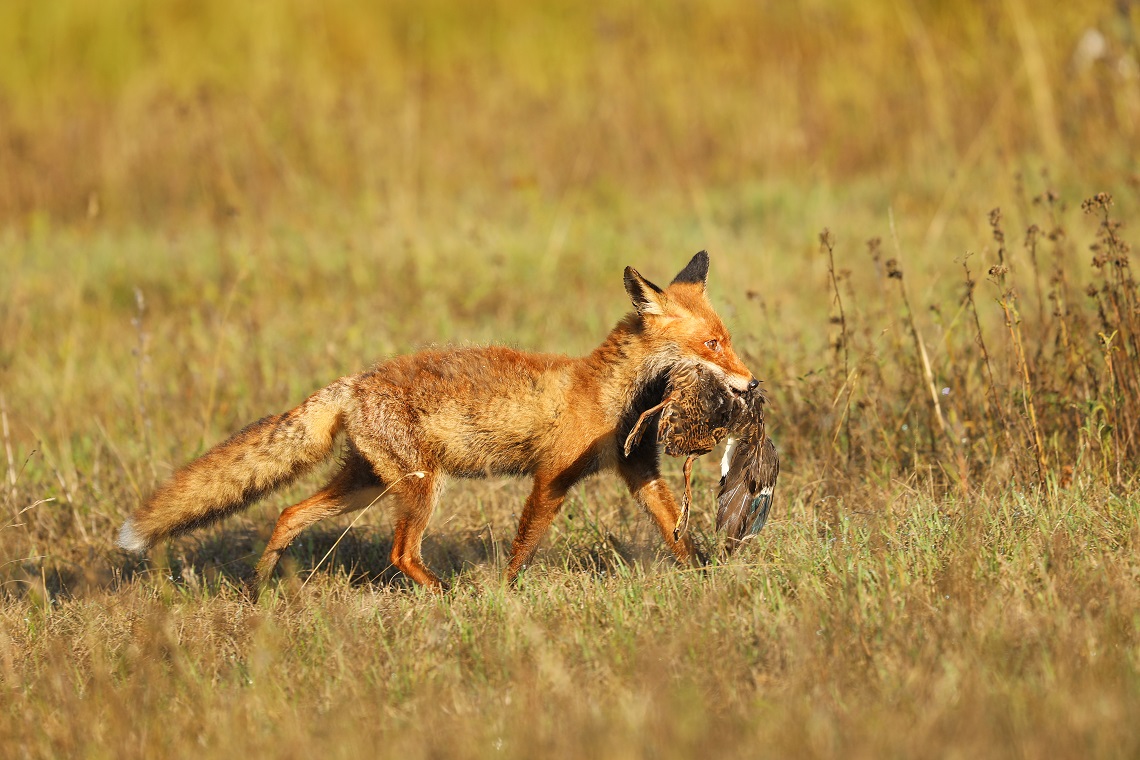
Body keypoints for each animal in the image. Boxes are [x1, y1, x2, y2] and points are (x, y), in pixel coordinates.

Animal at [117, 252, 756, 592]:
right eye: (713, 343)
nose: (751, 383)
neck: (607, 392)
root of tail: (354, 381)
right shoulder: (551, 477)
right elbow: (524, 547)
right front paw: (505, 594)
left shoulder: (636, 468)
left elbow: (676, 532)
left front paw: (706, 578)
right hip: (421, 487)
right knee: (400, 553)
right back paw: (444, 596)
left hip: (369, 486)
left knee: (290, 512)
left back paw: (261, 587)